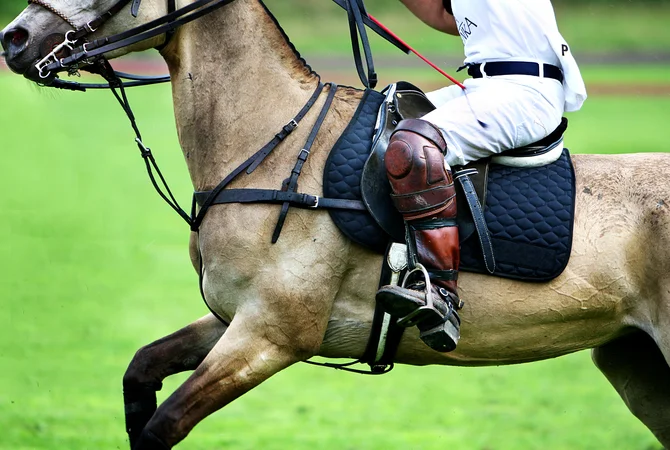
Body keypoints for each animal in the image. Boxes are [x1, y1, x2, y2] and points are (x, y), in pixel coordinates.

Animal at [3, 0, 670, 448]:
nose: (14, 37)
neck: (268, 142)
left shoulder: (273, 333)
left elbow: (162, 426)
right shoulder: (236, 316)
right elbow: (141, 369)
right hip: (637, 363)